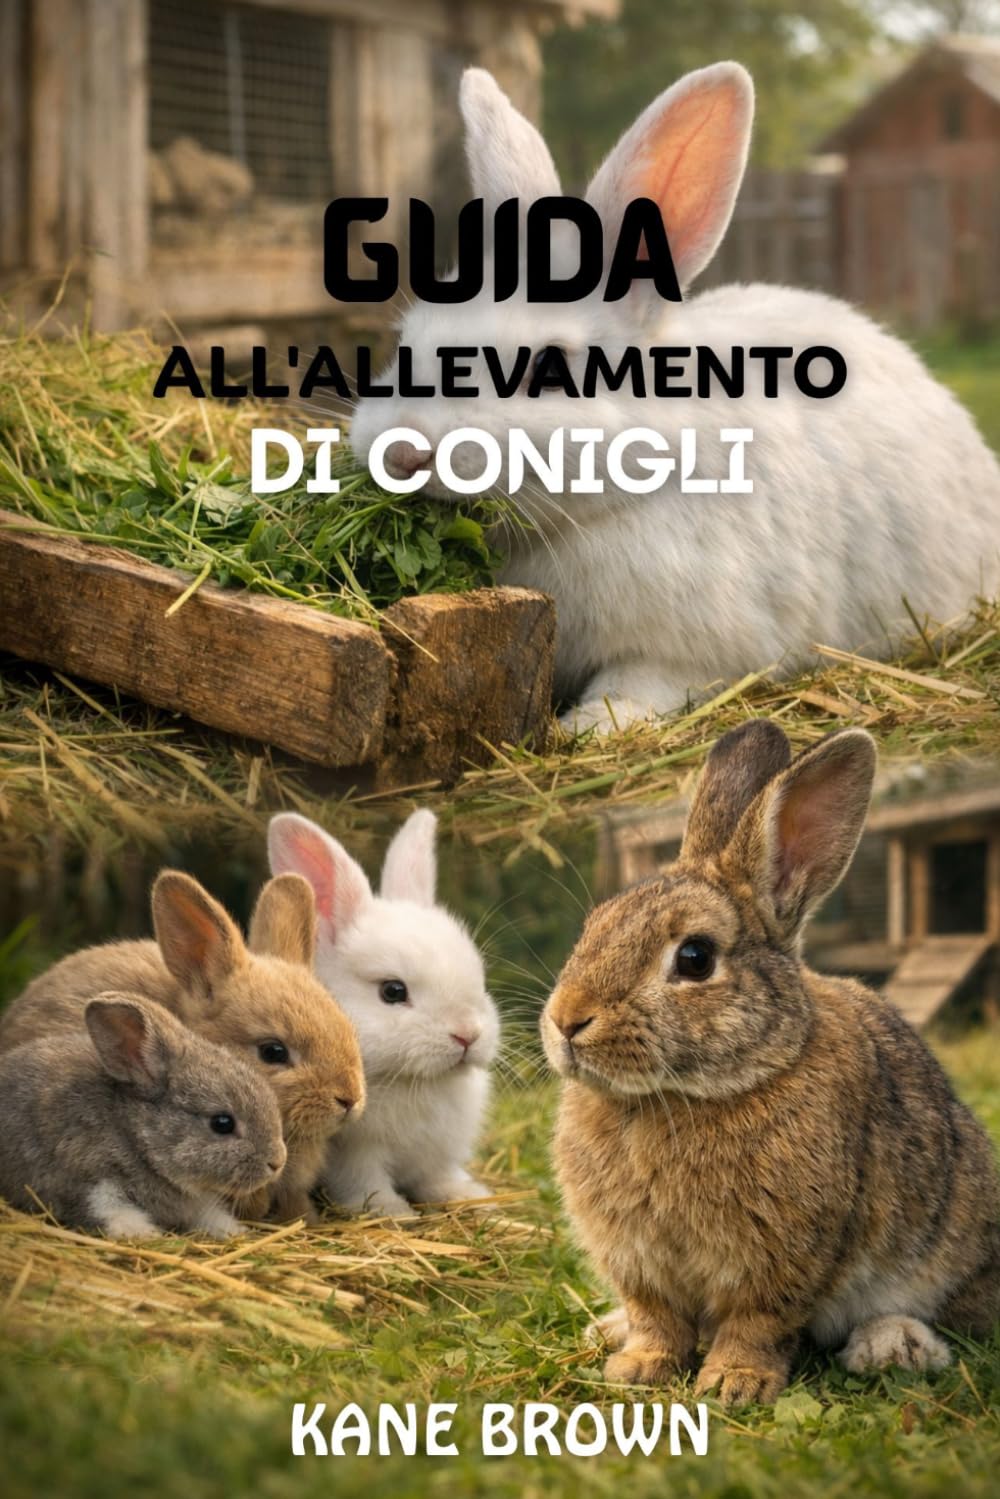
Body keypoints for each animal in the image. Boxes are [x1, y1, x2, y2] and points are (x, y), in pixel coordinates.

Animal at [0, 992, 286, 1238]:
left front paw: (233, 1231)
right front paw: (143, 1233)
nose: (277, 1163)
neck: (136, 1137)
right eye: (222, 1123)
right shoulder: (87, 1179)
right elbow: (108, 1212)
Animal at [267, 808, 500, 1218]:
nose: (467, 1035)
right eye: (393, 991)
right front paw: (393, 1212)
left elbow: (436, 1176)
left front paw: (467, 1195)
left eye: (480, 976)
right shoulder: (354, 1155)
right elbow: (365, 1184)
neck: (413, 1081)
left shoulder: (438, 1152)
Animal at [348, 63, 1000, 733]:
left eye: (550, 368)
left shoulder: (687, 651)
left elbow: (637, 686)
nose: (402, 453)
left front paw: (586, 727)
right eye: (404, 339)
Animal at [541, 720, 1000, 1406]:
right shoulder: (640, 1264)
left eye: (696, 958)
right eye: (595, 924)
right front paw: (637, 1367)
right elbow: (656, 1318)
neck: (687, 1095)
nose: (567, 1020)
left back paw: (891, 1345)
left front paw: (735, 1383)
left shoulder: (784, 1258)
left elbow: (757, 1321)